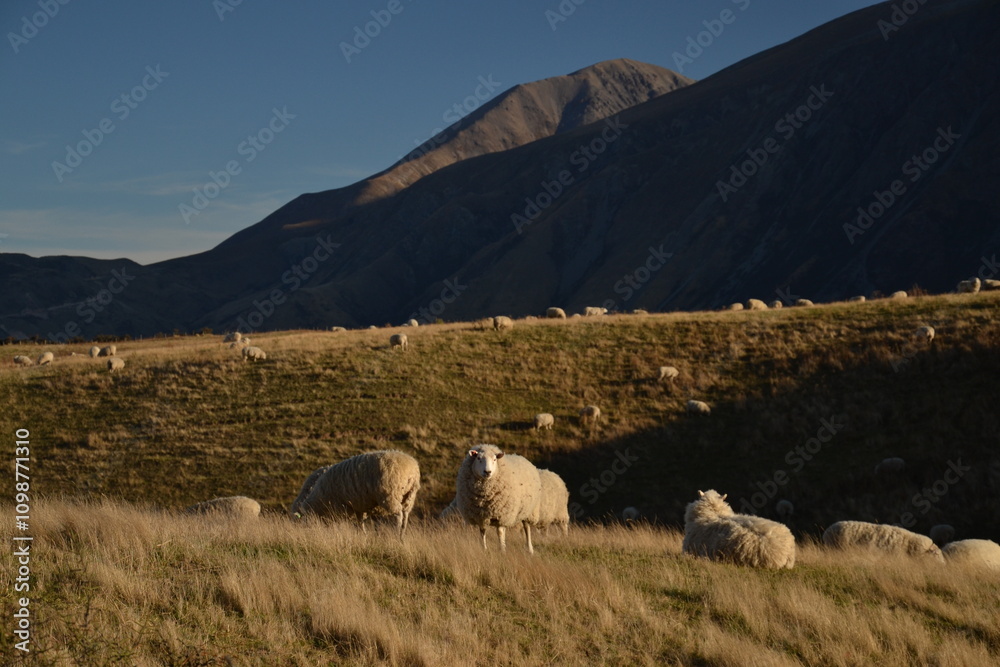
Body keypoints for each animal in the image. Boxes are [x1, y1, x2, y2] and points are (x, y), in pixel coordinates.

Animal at [290, 450, 420, 538]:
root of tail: (411, 469)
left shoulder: (339, 509)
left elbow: (341, 524)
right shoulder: (358, 506)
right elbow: (360, 522)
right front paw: (363, 535)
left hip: (390, 495)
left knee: (398, 515)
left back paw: (396, 534)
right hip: (409, 497)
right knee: (405, 516)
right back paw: (402, 536)